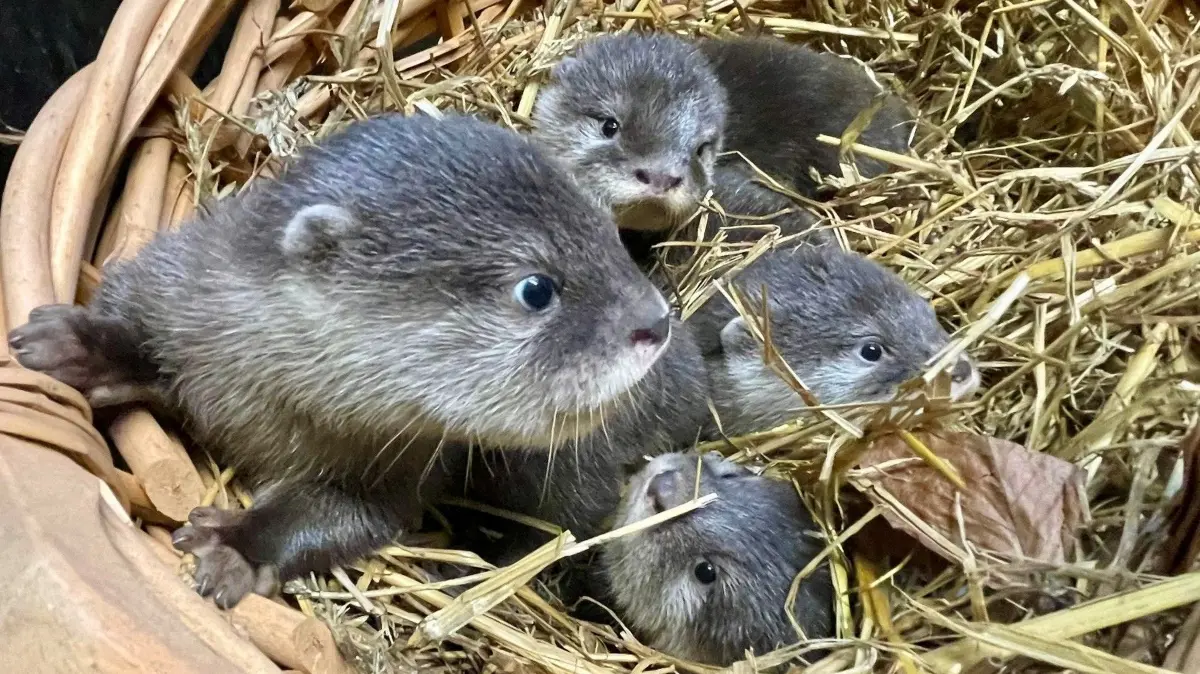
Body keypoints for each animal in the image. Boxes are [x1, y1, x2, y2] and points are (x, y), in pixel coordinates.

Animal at [9, 113, 675, 608]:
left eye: (607, 235)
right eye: (537, 289)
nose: (657, 320)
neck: (264, 397)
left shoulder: (392, 471)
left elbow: (341, 516)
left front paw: (237, 544)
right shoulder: (181, 279)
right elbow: (136, 316)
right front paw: (75, 344)